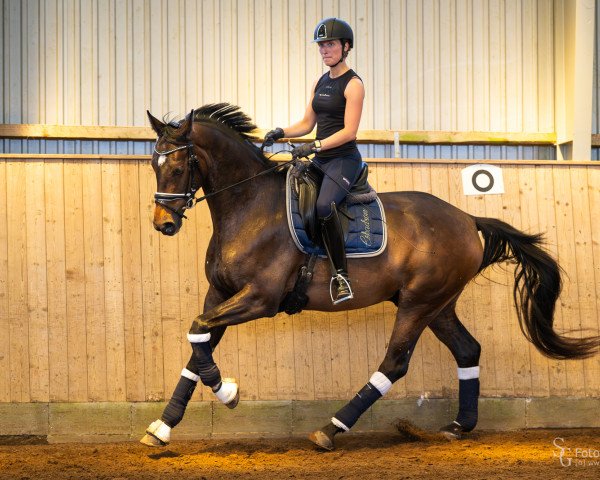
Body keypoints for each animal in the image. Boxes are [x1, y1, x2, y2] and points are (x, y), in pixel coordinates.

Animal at [139, 104, 596, 450]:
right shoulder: (220, 294)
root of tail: (467, 219)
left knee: (394, 363)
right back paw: (458, 426)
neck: (249, 208)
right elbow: (198, 343)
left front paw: (228, 392)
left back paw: (330, 430)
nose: (163, 224)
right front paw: (162, 427)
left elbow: (197, 334)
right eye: (153, 164)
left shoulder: (259, 299)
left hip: (419, 303)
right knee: (468, 350)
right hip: (439, 304)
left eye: (178, 165)